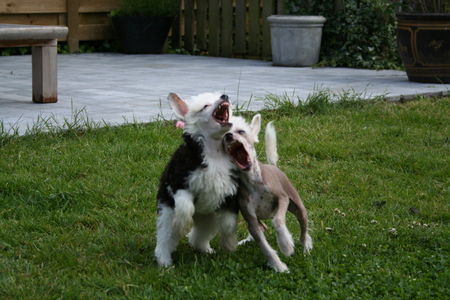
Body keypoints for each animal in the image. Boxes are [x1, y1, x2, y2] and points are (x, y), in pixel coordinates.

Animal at [155, 92, 241, 268]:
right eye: (205, 106)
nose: (225, 96)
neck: (213, 153)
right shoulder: (180, 183)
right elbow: (185, 207)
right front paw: (182, 222)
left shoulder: (231, 193)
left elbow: (228, 223)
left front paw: (229, 243)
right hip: (167, 211)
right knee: (165, 235)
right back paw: (164, 261)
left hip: (208, 218)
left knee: (199, 235)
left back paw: (203, 248)